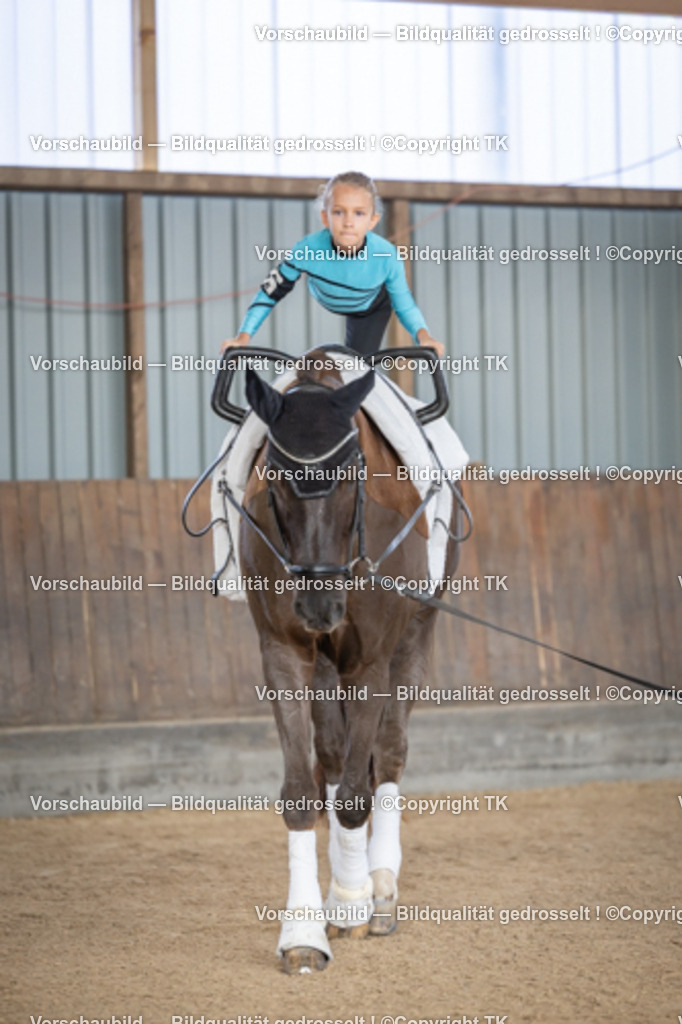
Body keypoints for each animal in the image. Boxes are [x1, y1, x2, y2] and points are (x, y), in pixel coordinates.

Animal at [239, 349, 460, 974]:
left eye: (353, 475)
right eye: (275, 479)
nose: (320, 603)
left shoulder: (371, 659)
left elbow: (361, 790)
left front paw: (353, 904)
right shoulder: (284, 651)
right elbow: (302, 791)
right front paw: (304, 931)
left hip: (415, 634)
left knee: (388, 753)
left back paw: (376, 887)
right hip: (324, 662)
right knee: (337, 757)